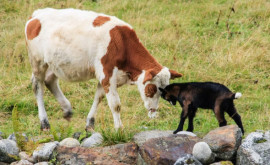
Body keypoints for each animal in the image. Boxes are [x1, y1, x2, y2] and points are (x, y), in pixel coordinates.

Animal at [24, 8, 182, 131]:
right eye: (151, 88)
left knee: (50, 80)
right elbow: (115, 104)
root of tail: (36, 15)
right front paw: (119, 129)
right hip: (37, 62)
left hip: (54, 63)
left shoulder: (106, 77)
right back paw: (44, 123)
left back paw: (67, 109)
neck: (121, 42)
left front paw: (90, 124)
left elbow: (98, 97)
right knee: (38, 86)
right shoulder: (107, 74)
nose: (153, 111)